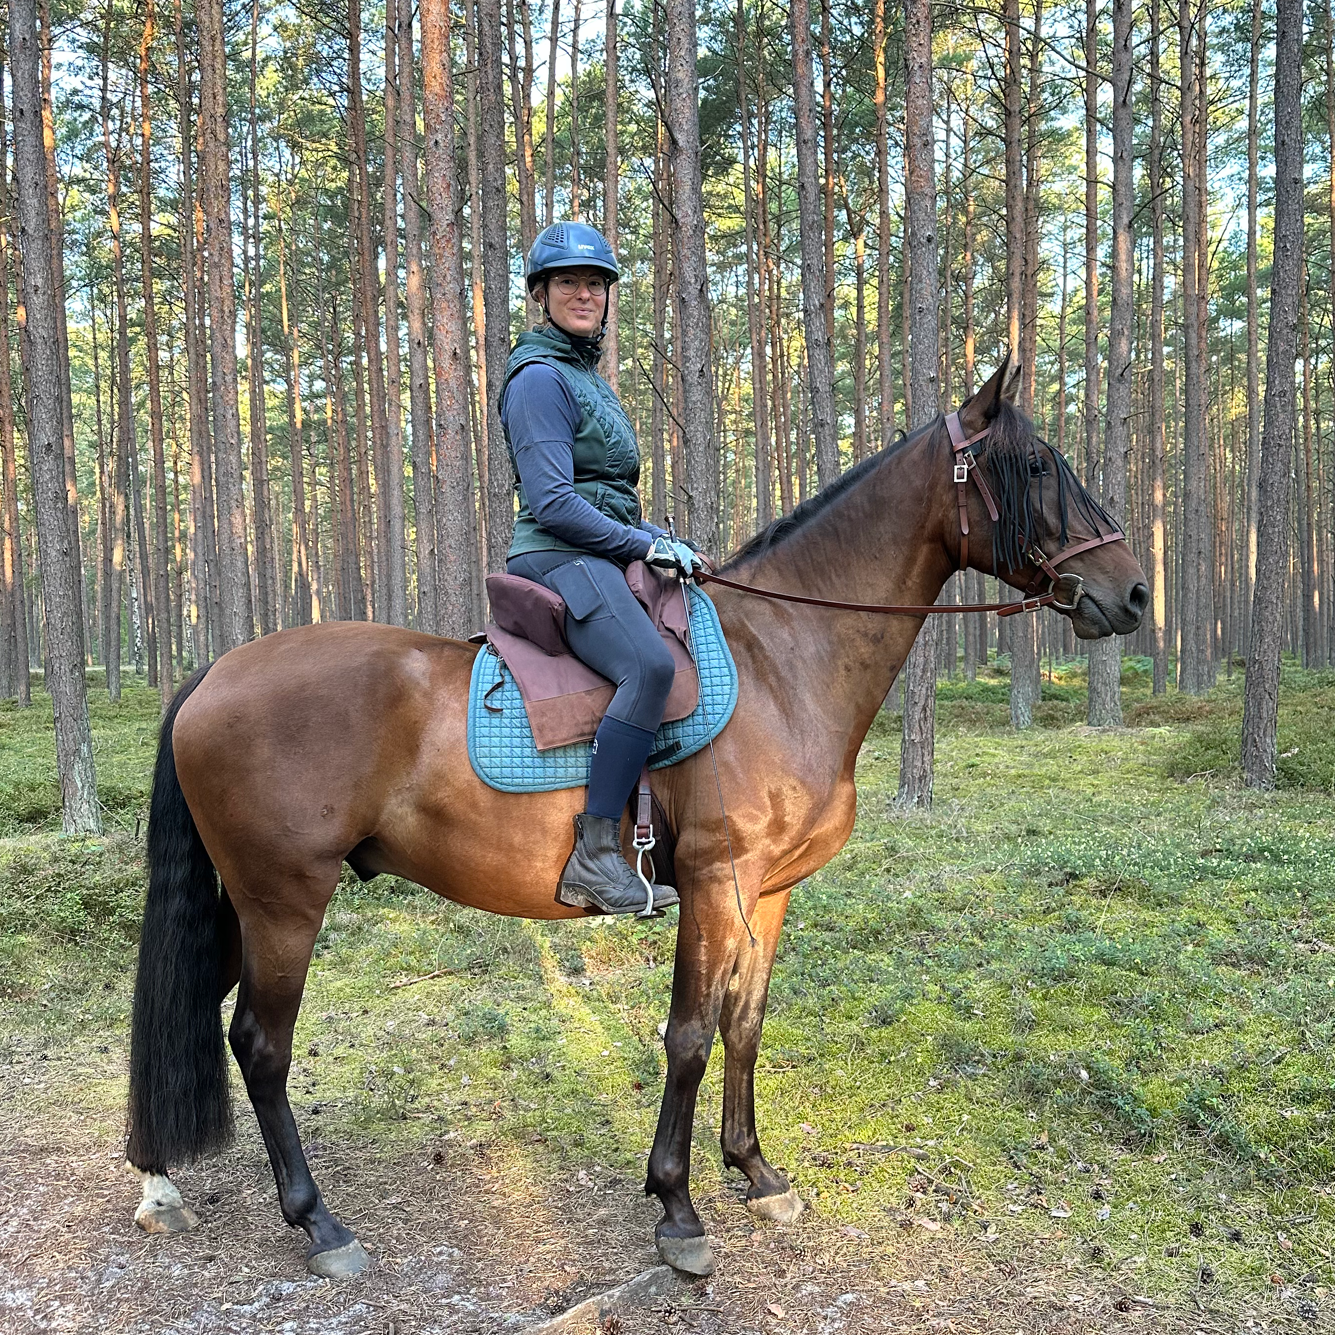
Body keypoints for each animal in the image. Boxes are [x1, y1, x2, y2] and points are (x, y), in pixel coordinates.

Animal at [125, 359, 1147, 1279]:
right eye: (1039, 465)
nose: (1133, 592)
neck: (782, 662)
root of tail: (215, 671)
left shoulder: (766, 893)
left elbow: (745, 1021)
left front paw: (755, 1172)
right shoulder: (712, 883)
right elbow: (688, 1036)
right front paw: (678, 1208)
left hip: (241, 905)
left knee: (194, 1009)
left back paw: (158, 1181)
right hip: (285, 903)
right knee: (261, 1045)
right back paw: (319, 1223)